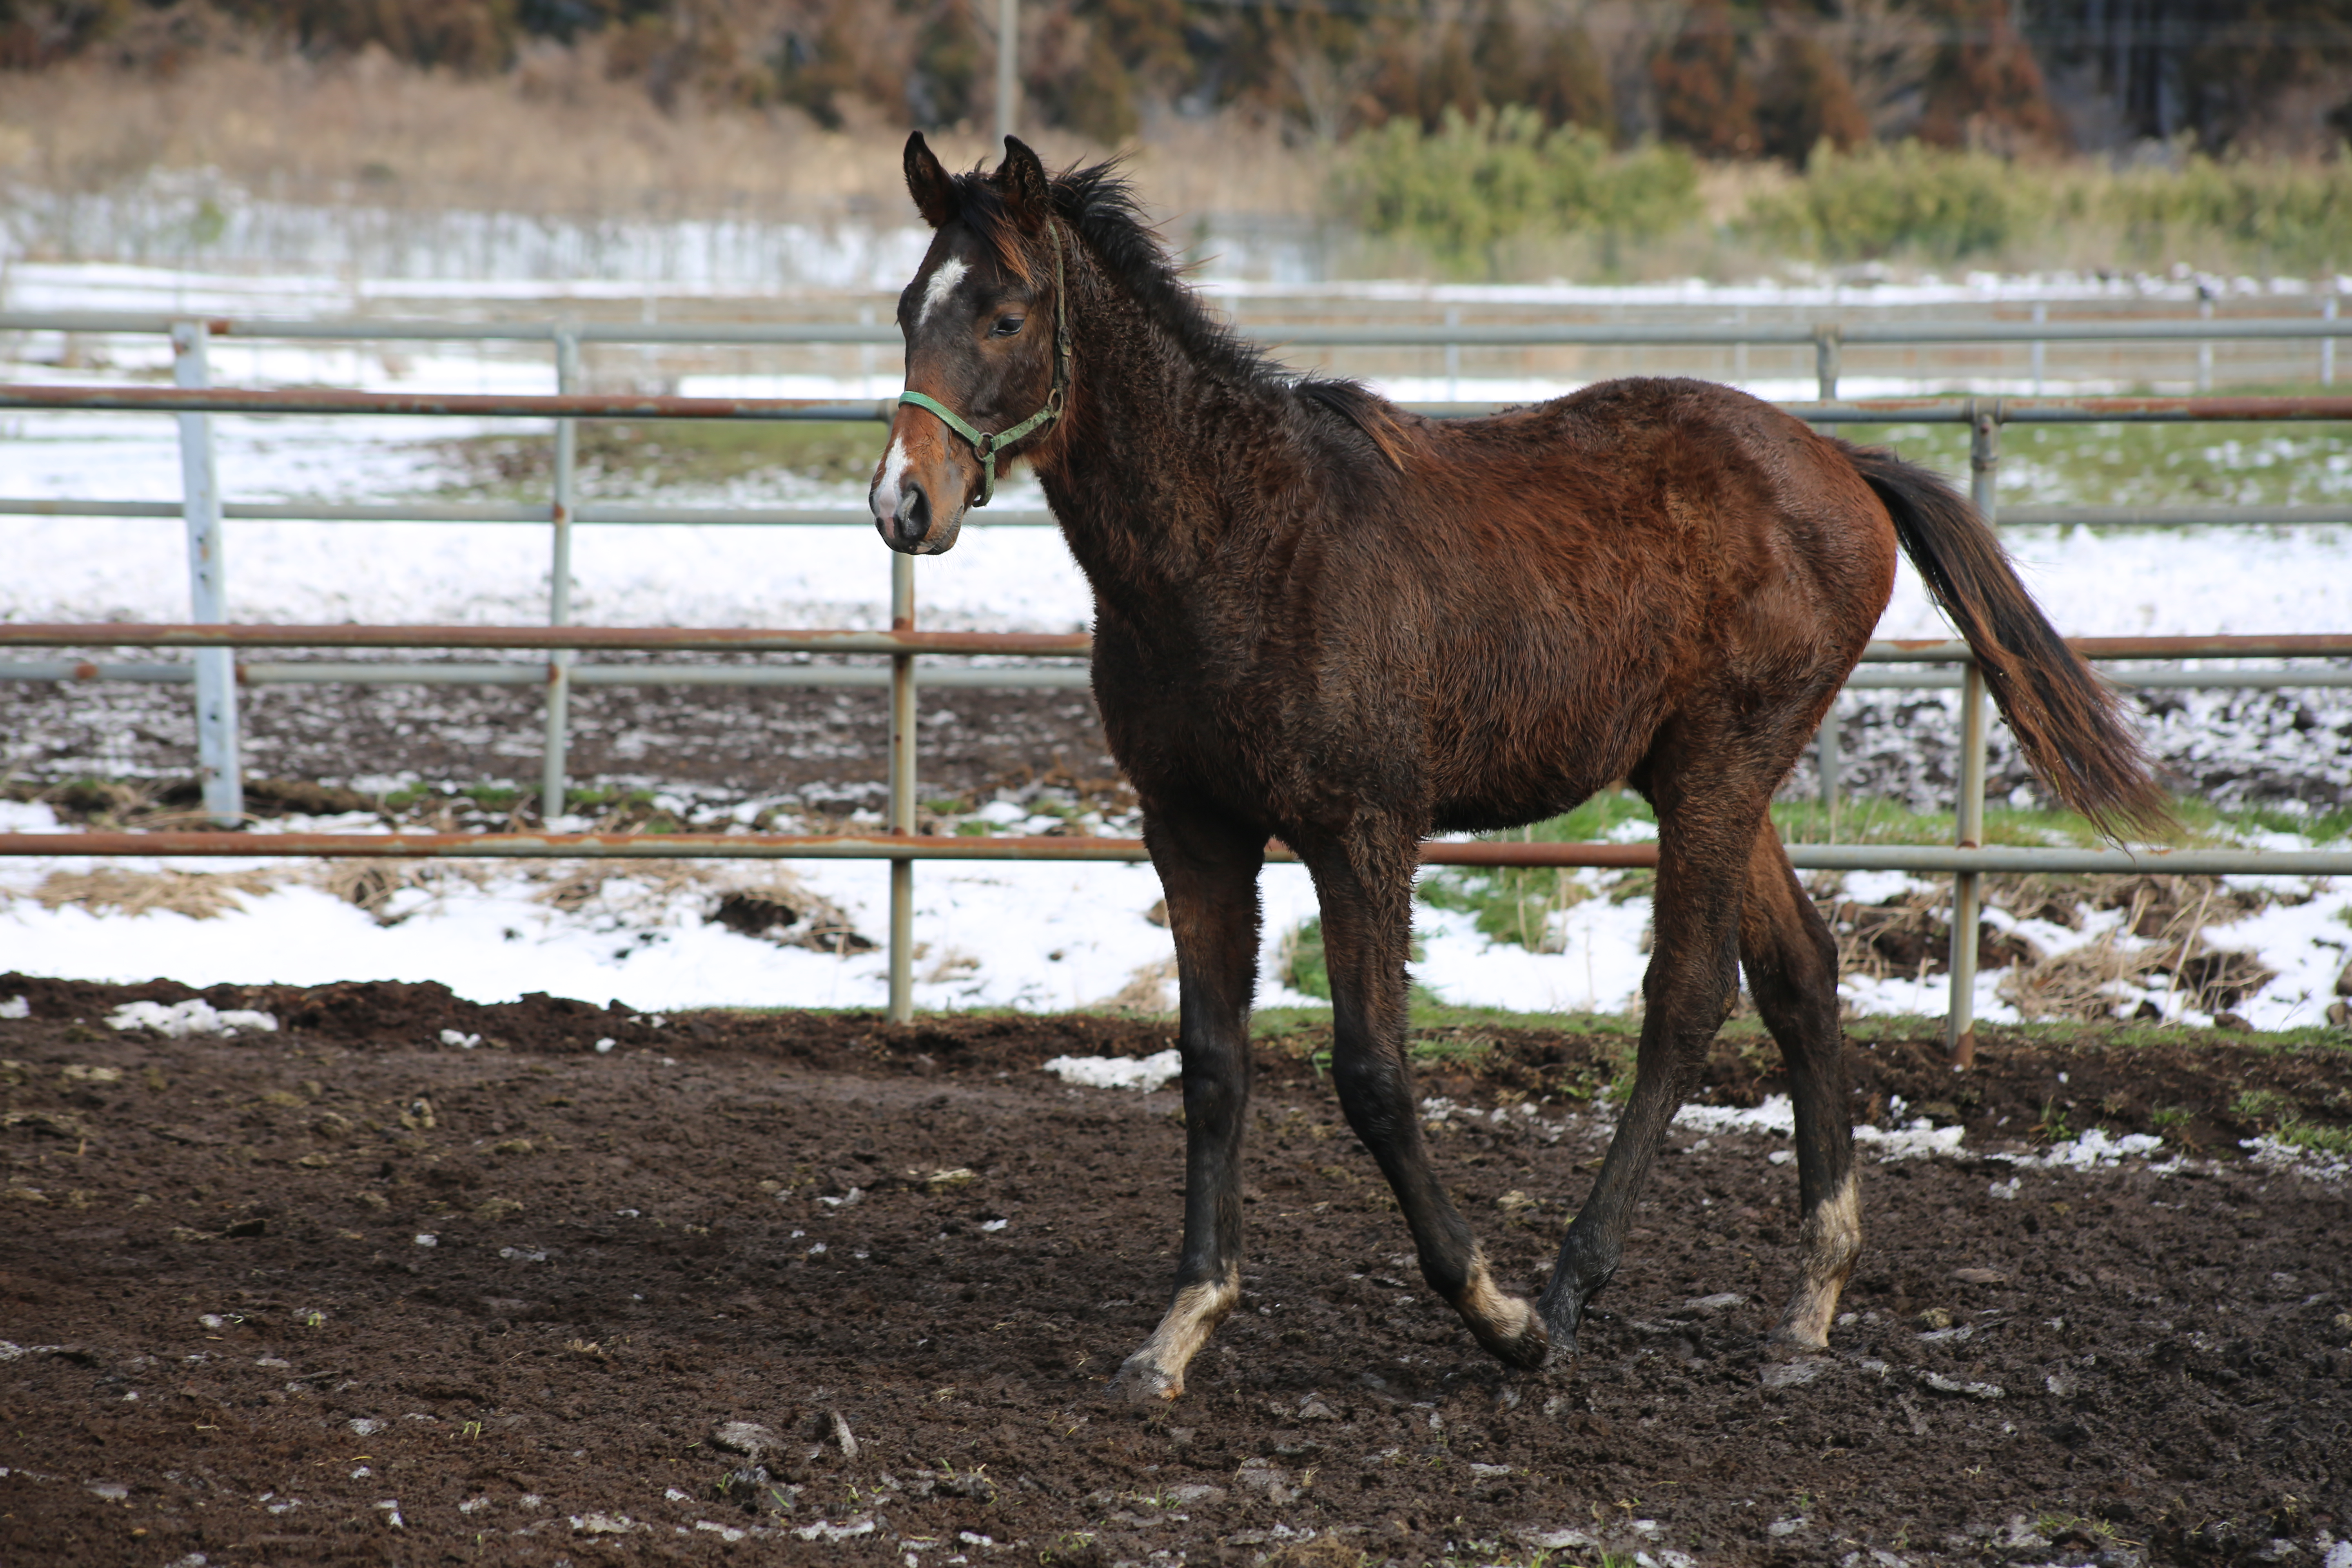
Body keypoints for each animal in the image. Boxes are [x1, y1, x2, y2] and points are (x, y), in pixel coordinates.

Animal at [870, 135, 2164, 1401]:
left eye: (1005, 316)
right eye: (904, 308)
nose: (903, 503)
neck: (1240, 542)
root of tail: (1837, 462)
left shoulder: (1362, 830)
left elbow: (1372, 1072)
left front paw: (1494, 1313)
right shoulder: (1191, 828)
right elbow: (1209, 1063)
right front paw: (1183, 1322)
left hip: (1722, 764)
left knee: (1689, 995)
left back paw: (1571, 1290)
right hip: (1701, 774)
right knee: (1799, 970)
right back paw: (1809, 1304)